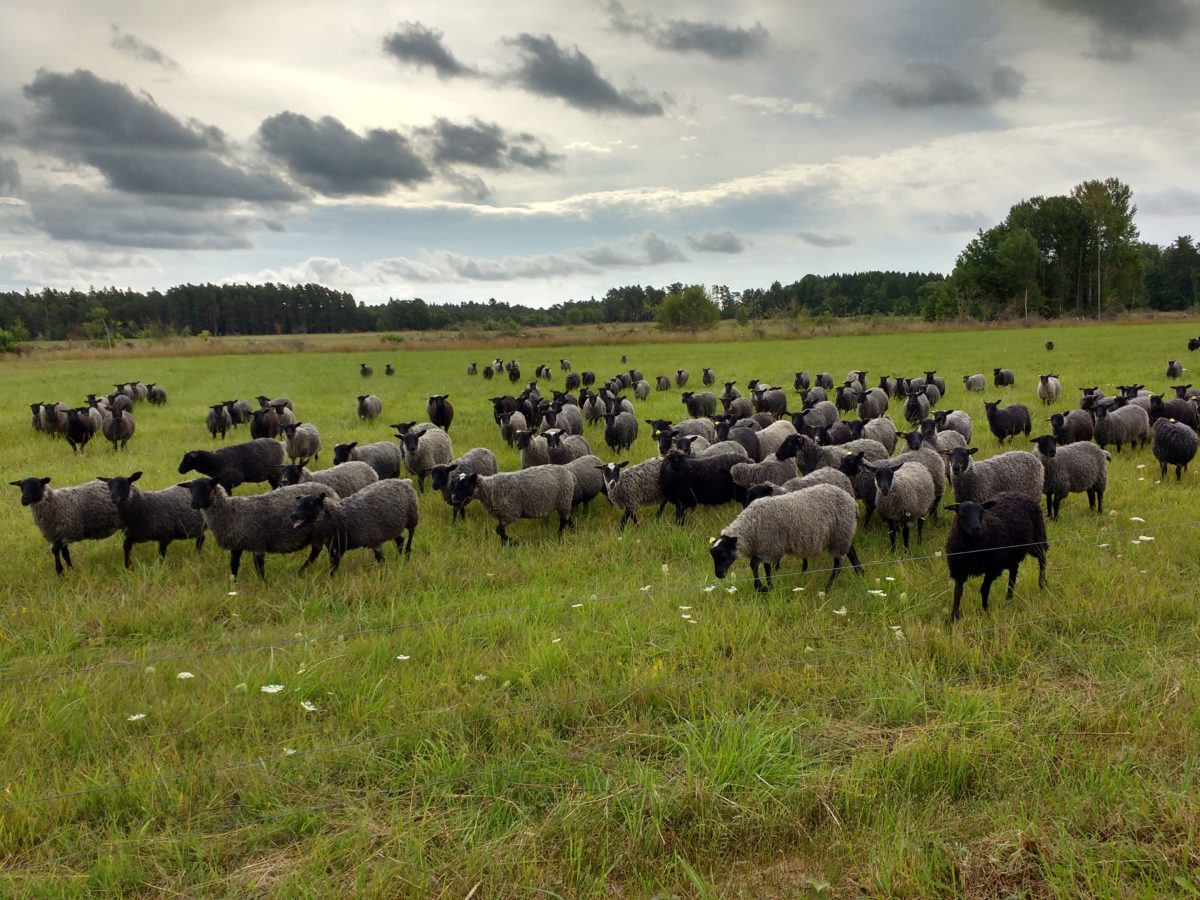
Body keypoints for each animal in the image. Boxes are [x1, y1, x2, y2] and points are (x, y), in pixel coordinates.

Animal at [186, 475, 333, 580]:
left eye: (207, 487)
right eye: (191, 489)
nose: (194, 504)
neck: (230, 511)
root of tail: (330, 490)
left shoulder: (258, 543)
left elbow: (259, 567)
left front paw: (264, 584)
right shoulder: (236, 544)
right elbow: (234, 565)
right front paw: (233, 584)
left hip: (322, 531)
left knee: (321, 551)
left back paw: (304, 570)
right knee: (316, 550)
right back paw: (302, 570)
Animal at [290, 475, 422, 573]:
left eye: (311, 503)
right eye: (298, 504)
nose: (293, 515)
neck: (338, 516)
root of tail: (404, 481)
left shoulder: (373, 539)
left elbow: (380, 560)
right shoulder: (335, 545)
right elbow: (333, 565)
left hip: (412, 516)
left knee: (411, 533)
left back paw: (407, 555)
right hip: (393, 525)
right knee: (400, 540)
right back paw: (399, 557)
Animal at [705, 482, 868, 595]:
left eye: (724, 554)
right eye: (713, 556)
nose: (719, 575)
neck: (752, 528)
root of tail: (852, 502)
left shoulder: (770, 546)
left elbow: (754, 564)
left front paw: (761, 587)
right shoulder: (766, 547)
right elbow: (766, 567)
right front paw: (769, 586)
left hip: (840, 534)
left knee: (838, 563)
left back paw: (828, 587)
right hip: (842, 534)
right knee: (851, 551)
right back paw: (860, 573)